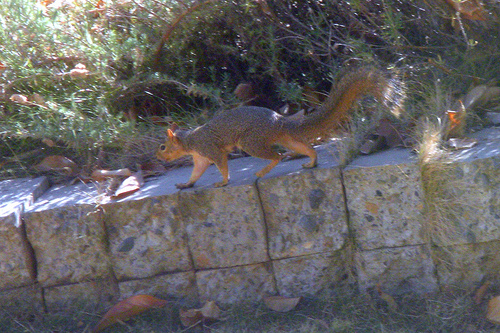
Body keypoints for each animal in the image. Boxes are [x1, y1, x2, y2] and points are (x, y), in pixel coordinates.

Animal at [158, 66, 392, 188]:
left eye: (163, 147)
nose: (160, 159)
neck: (189, 140)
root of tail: (279, 119)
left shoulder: (210, 149)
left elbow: (222, 165)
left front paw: (223, 182)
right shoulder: (200, 157)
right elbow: (196, 172)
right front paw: (185, 185)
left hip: (251, 141)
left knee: (277, 156)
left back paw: (262, 171)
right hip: (285, 138)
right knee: (306, 149)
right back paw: (311, 162)